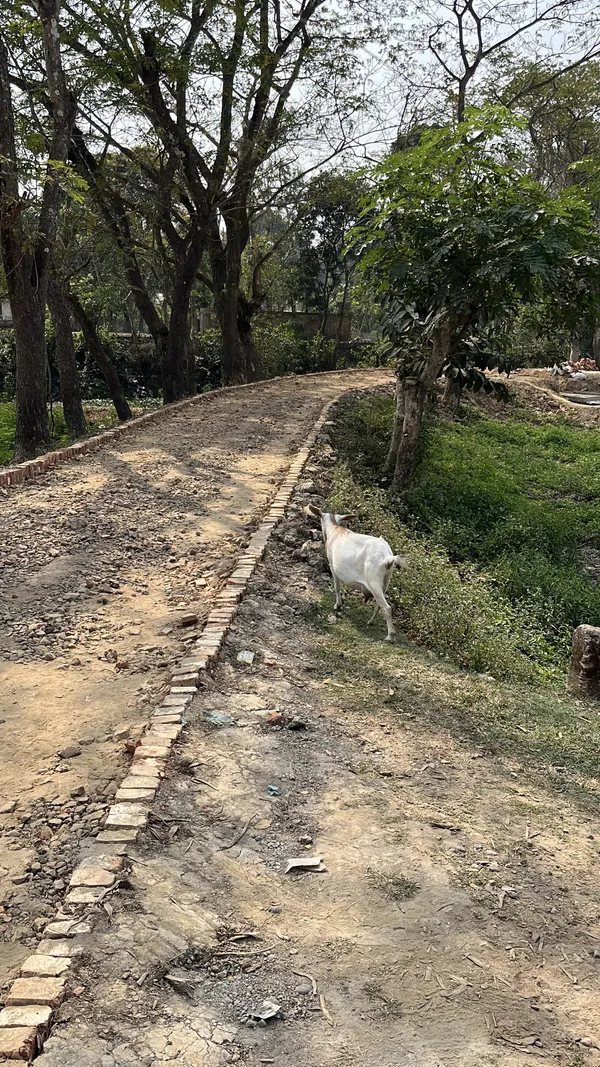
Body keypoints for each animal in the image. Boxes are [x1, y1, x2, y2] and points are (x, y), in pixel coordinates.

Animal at [307, 506, 407, 642]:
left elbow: (337, 587)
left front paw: (338, 605)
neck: (335, 530)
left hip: (373, 581)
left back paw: (390, 636)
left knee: (387, 608)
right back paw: (371, 621)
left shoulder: (333, 567)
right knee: (379, 604)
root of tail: (387, 557)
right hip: (386, 580)